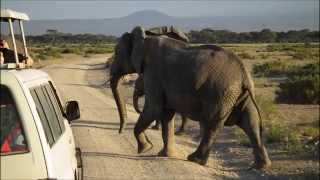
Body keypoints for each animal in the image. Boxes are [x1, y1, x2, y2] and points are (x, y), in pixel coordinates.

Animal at [110, 25, 270, 169]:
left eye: (116, 53)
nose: (119, 132)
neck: (147, 37)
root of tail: (244, 74)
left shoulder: (154, 74)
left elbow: (154, 109)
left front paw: (146, 148)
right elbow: (166, 114)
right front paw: (164, 154)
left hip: (221, 93)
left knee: (212, 124)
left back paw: (195, 159)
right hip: (237, 94)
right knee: (251, 122)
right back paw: (260, 166)